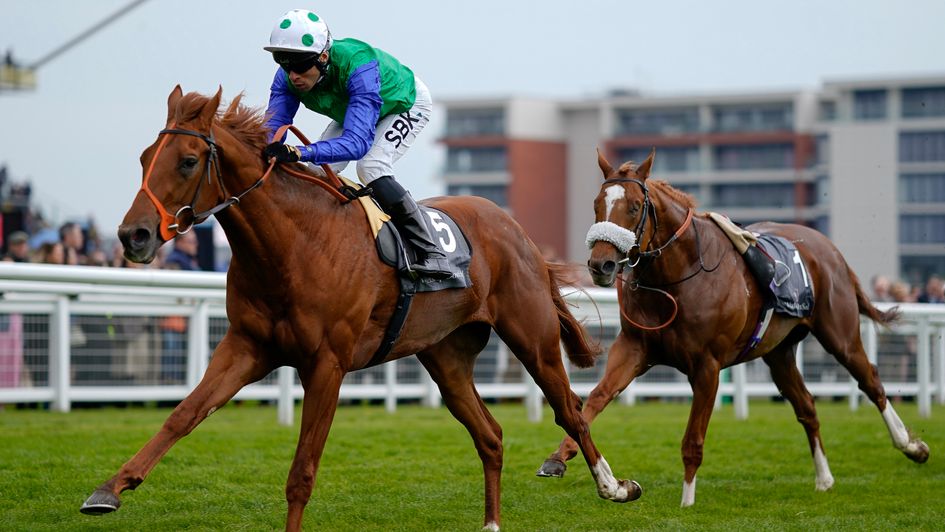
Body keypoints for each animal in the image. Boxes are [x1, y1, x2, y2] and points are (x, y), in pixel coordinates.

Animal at [79, 88, 640, 532]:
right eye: (145, 156)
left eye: (188, 161)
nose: (133, 235)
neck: (294, 243)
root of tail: (516, 230)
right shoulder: (248, 347)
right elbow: (184, 414)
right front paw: (109, 489)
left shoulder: (327, 363)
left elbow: (301, 473)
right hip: (446, 358)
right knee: (491, 436)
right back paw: (492, 523)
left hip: (533, 339)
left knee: (571, 411)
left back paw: (614, 487)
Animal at [540, 150, 928, 508]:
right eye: (597, 205)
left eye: (634, 207)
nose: (601, 265)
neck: (677, 277)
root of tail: (828, 248)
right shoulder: (635, 348)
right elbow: (595, 399)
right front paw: (560, 457)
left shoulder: (707, 366)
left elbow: (693, 440)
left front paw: (687, 503)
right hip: (779, 353)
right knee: (807, 406)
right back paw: (824, 478)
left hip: (839, 334)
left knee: (871, 381)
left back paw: (911, 446)